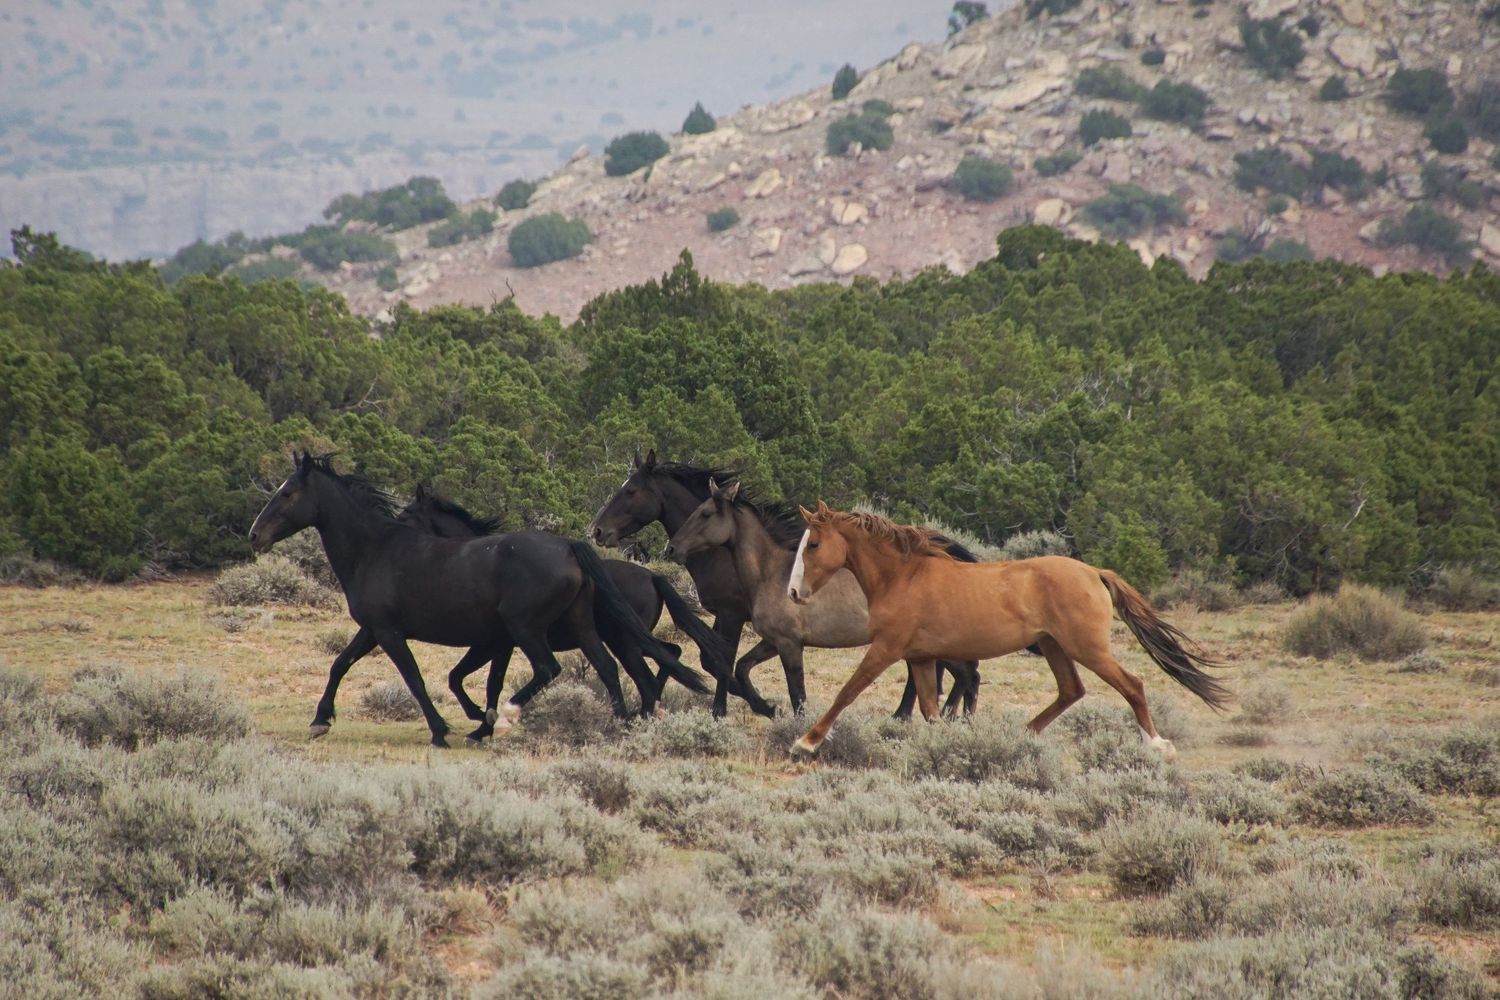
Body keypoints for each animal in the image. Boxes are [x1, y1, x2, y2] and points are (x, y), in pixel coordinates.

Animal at [248, 453, 708, 746]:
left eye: (287, 493)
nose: (255, 535)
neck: (374, 550)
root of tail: (570, 547)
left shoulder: (393, 633)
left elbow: (419, 679)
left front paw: (446, 730)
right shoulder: (375, 630)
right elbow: (341, 664)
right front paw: (320, 721)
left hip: (532, 629)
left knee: (554, 669)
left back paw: (510, 718)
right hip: (582, 628)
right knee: (611, 669)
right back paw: (617, 724)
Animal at [589, 450, 981, 718]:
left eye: (630, 491)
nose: (597, 531)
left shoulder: (736, 616)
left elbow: (722, 662)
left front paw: (731, 709)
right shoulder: (763, 633)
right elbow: (730, 664)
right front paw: (756, 705)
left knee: (964, 672)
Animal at [785, 503, 1230, 760]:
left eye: (813, 544)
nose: (793, 592)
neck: (903, 577)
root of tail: (1093, 572)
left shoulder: (886, 649)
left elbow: (848, 692)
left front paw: (805, 742)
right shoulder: (921, 658)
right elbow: (930, 711)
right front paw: (950, 745)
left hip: (1086, 647)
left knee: (1132, 684)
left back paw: (1157, 746)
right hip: (1054, 647)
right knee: (1071, 691)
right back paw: (1022, 736)